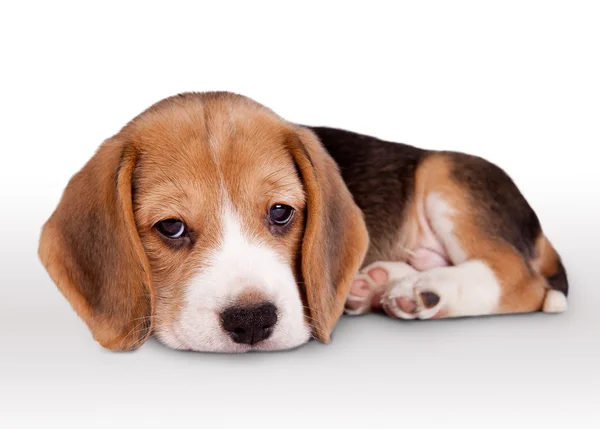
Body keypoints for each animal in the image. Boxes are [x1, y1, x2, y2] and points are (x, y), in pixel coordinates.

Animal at [37, 90, 568, 352]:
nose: (252, 321)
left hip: (447, 175)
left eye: (280, 212)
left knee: (520, 279)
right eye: (171, 227)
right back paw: (378, 283)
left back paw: (424, 291)